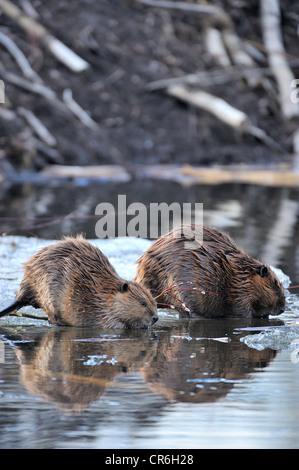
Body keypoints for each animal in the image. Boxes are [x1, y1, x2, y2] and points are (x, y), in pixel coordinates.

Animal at [0, 237, 159, 328]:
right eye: (142, 303)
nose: (156, 318)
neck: (104, 295)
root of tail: (22, 294)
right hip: (45, 292)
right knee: (51, 318)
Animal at [135, 225, 286, 320]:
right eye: (276, 292)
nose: (283, 309)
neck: (241, 274)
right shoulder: (239, 294)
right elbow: (242, 312)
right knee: (187, 311)